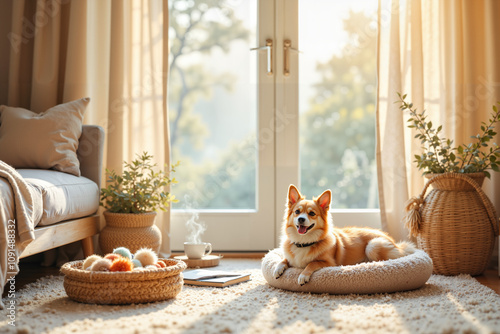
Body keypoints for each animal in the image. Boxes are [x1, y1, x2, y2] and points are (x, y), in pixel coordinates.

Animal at [274, 184, 414, 286]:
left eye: (312, 213)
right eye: (297, 212)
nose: (301, 219)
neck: (304, 242)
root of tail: (396, 243)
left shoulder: (329, 263)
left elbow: (311, 264)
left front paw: (303, 275)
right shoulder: (290, 258)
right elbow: (283, 260)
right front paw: (277, 268)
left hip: (373, 245)